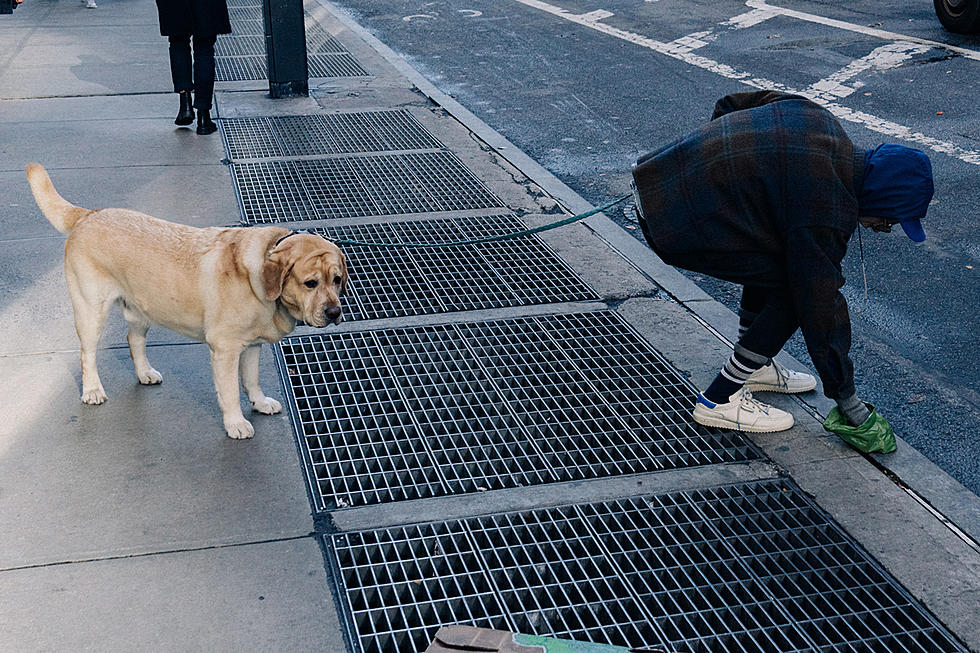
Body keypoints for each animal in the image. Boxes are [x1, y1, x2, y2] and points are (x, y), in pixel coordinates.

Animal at [26, 162, 346, 438]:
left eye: (337, 280)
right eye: (310, 283)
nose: (334, 312)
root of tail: (89, 214)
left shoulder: (252, 346)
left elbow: (251, 379)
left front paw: (260, 402)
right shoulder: (225, 349)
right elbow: (230, 391)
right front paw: (235, 423)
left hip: (141, 307)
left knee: (134, 339)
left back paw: (144, 372)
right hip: (91, 311)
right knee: (87, 353)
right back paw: (92, 389)